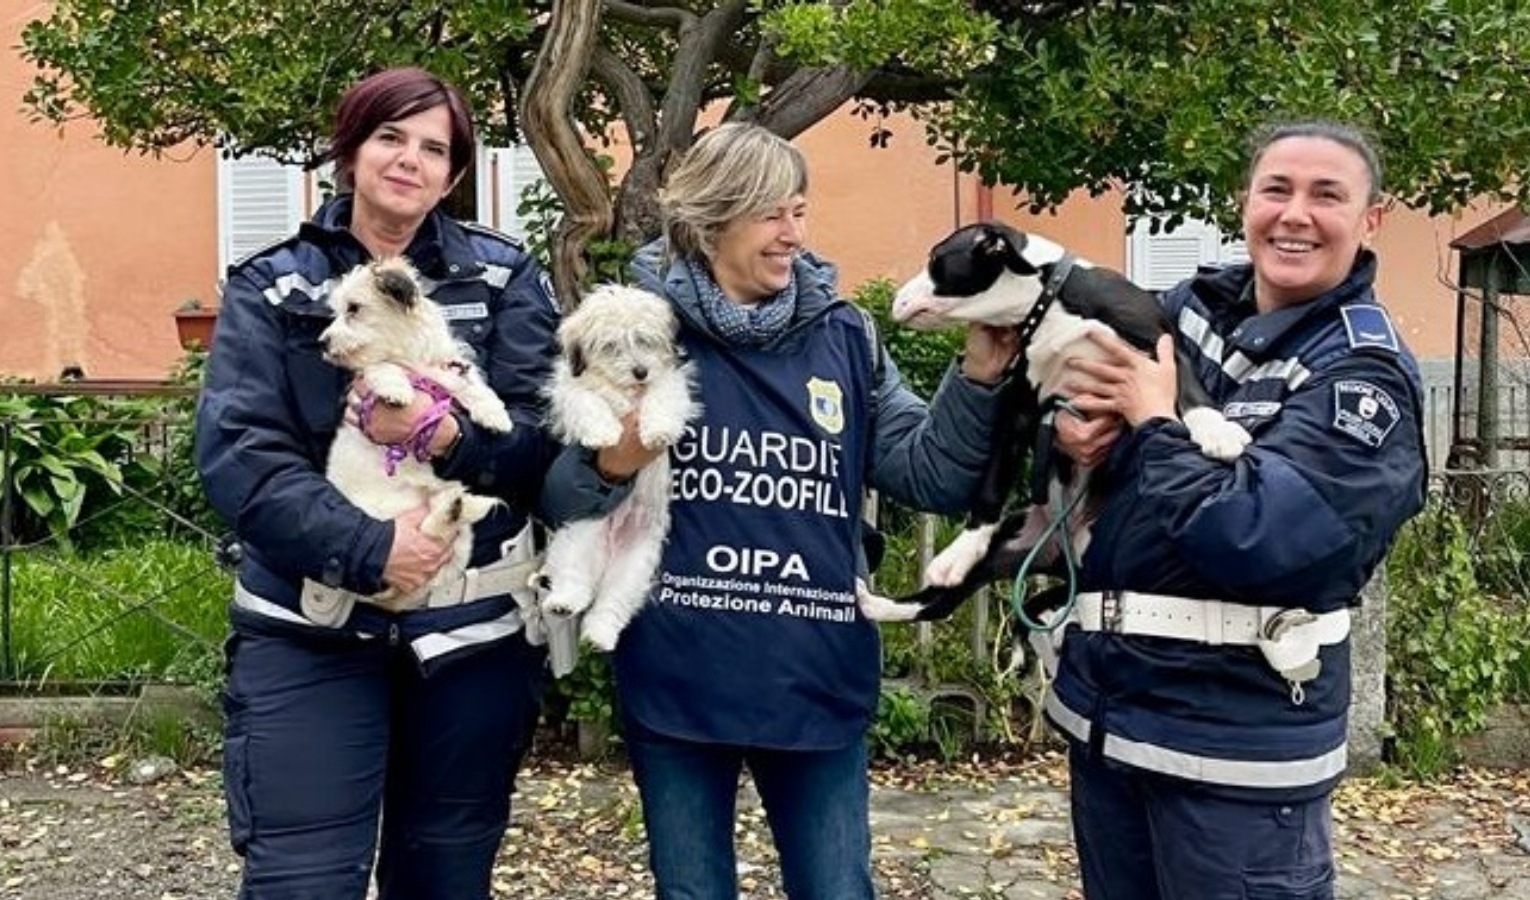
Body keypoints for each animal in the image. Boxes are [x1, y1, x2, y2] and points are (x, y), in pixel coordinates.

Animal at [319, 257, 511, 615]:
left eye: (354, 308)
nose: (322, 342)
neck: (412, 358)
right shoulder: (373, 374)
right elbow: (382, 368)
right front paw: (396, 391)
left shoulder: (451, 372)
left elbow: (474, 387)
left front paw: (495, 415)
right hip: (387, 526)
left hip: (456, 540)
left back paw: (456, 506)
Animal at [538, 284, 700, 648]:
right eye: (611, 346)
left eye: (645, 341)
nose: (640, 371)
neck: (624, 389)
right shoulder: (571, 388)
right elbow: (587, 402)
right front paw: (603, 433)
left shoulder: (669, 382)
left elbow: (661, 399)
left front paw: (657, 431)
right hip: (578, 540)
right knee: (575, 581)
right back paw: (562, 604)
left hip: (633, 570)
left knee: (612, 604)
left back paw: (598, 635)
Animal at [856, 221, 1248, 621]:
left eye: (936, 261)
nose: (896, 299)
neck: (1049, 308)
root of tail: (1067, 550)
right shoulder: (1020, 409)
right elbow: (991, 485)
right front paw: (961, 549)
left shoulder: (1163, 346)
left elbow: (1191, 392)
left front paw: (1218, 431)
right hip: (1010, 541)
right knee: (938, 603)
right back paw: (880, 600)